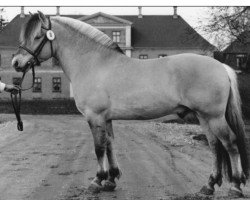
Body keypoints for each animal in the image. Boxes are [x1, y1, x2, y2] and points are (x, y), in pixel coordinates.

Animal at [11, 11, 250, 198]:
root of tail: (220, 66)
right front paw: (111, 180)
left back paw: (235, 186)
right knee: (215, 146)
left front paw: (97, 181)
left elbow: (98, 148)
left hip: (214, 116)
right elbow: (109, 145)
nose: (16, 63)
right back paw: (208, 186)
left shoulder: (94, 116)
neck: (93, 64)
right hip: (203, 117)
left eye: (38, 36)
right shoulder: (106, 118)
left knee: (230, 144)